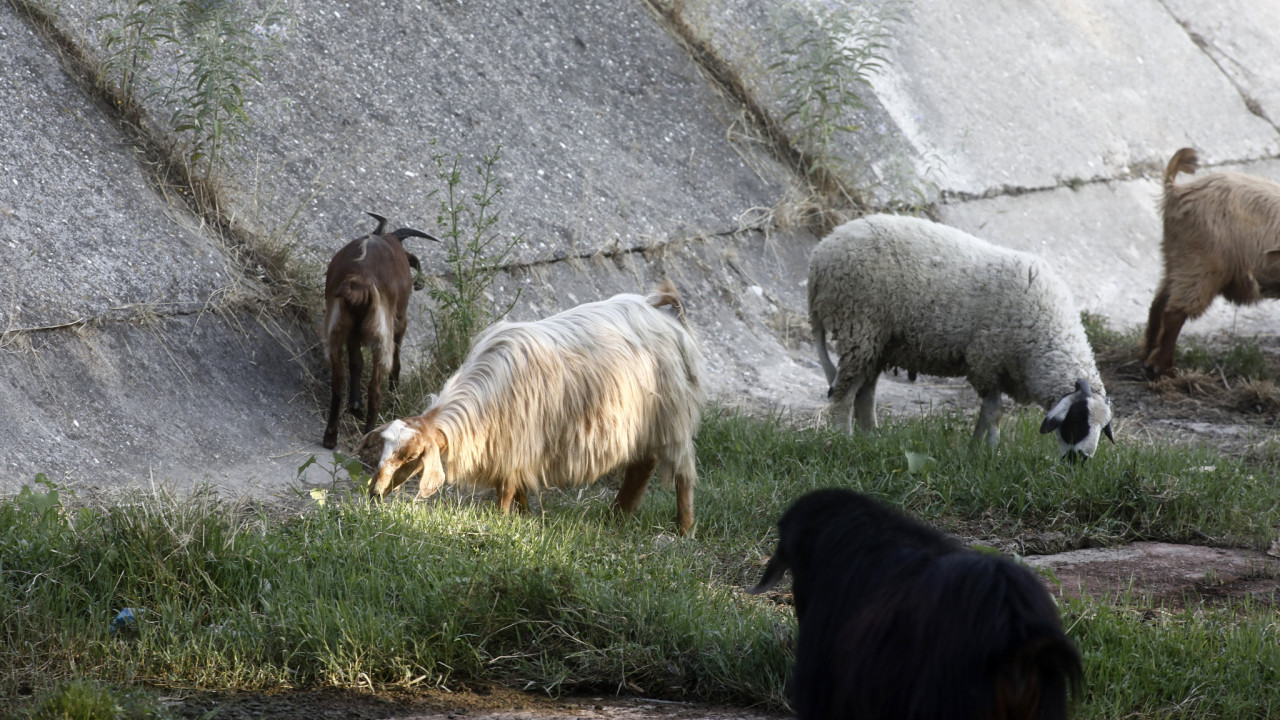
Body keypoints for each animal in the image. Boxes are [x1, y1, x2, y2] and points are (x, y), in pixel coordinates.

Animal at [320, 212, 440, 445]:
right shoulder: (400, 321)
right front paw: (395, 397)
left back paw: (330, 436)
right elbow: (396, 362)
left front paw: (355, 405)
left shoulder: (353, 332)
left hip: (337, 327)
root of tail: (359, 282)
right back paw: (369, 435)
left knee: (338, 378)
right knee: (375, 387)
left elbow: (356, 362)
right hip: (382, 331)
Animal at [368, 280, 711, 532]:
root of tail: (660, 309)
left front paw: (502, 520)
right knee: (643, 465)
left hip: (673, 415)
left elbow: (507, 488)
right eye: (383, 448)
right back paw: (618, 515)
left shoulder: (518, 442)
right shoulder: (515, 448)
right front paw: (526, 517)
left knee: (682, 475)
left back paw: (685, 528)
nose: (374, 492)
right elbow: (518, 487)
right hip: (647, 421)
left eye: (410, 456)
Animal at [814, 213, 1116, 458]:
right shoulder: (986, 361)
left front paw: (975, 449)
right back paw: (843, 439)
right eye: (1076, 421)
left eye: (1102, 428)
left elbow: (985, 414)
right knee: (844, 393)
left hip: (878, 342)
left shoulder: (995, 369)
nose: (1080, 462)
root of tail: (823, 249)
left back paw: (870, 440)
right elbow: (994, 413)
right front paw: (991, 452)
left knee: (865, 393)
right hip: (859, 326)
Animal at [1146, 149, 1280, 379]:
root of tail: (1176, 190)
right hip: (1203, 262)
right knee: (1175, 312)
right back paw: (1162, 367)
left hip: (1176, 258)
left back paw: (1145, 356)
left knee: (1159, 302)